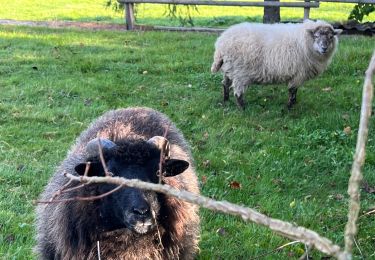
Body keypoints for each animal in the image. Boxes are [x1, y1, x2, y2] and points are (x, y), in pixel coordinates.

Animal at [212, 20, 344, 109]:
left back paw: (226, 100)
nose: (324, 48)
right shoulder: (298, 74)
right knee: (238, 92)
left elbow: (294, 91)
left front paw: (293, 104)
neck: (305, 42)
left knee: (225, 83)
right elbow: (292, 91)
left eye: (331, 37)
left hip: (229, 68)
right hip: (240, 72)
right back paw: (243, 108)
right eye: (316, 36)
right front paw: (289, 107)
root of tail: (221, 44)